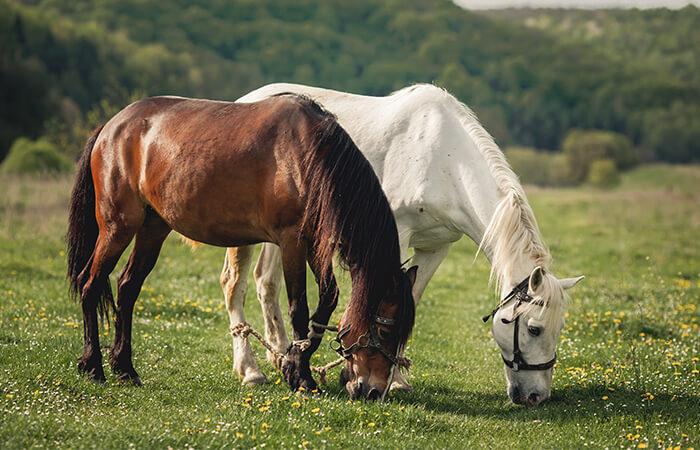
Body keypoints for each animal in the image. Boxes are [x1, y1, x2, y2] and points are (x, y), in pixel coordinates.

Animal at [65, 93, 416, 400]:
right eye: (386, 331)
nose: (373, 391)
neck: (308, 156)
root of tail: (112, 126)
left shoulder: (315, 243)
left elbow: (327, 299)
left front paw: (294, 365)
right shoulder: (292, 242)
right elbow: (299, 309)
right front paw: (301, 377)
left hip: (153, 230)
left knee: (127, 288)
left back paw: (125, 368)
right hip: (117, 227)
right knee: (91, 284)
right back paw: (93, 366)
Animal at [221, 82, 584, 406]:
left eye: (560, 327)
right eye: (534, 329)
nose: (536, 396)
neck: (445, 161)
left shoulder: (436, 248)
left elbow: (411, 298)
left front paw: (395, 378)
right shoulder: (394, 236)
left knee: (266, 283)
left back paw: (282, 356)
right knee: (235, 284)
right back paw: (251, 370)